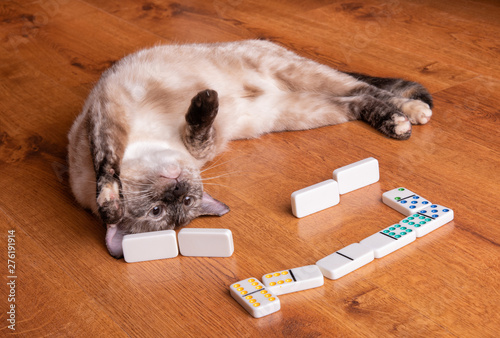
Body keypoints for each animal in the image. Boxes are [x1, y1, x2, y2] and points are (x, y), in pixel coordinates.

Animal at [67, 39, 434, 258]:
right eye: (159, 211)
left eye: (183, 202)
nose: (176, 189)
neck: (149, 143)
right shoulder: (203, 146)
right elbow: (195, 132)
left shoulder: (109, 118)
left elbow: (107, 167)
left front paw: (110, 203)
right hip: (306, 112)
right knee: (358, 100)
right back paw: (399, 122)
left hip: (299, 74)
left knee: (366, 88)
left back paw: (412, 114)